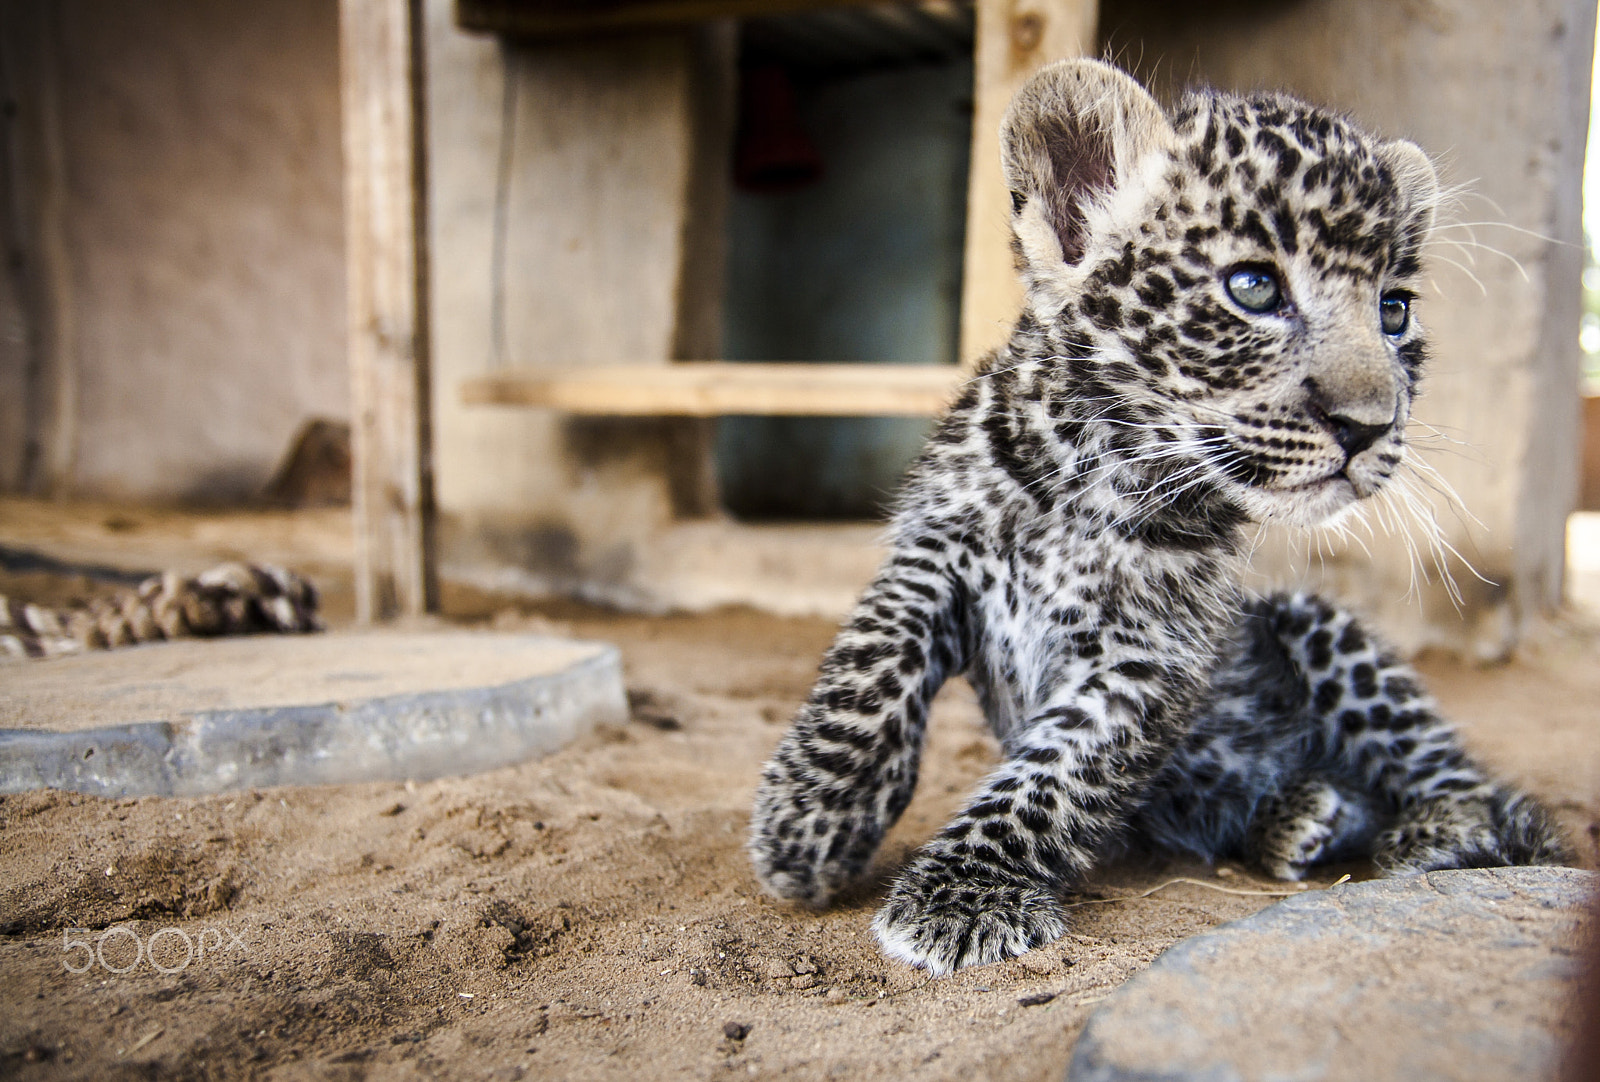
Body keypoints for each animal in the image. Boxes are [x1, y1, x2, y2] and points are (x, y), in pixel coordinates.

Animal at [747, 59, 1572, 976]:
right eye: (1254, 287)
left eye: (1393, 310)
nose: (1368, 426)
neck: (1091, 473)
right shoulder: (933, 554)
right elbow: (869, 665)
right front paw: (808, 820)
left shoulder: (1147, 655)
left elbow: (1054, 777)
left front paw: (962, 893)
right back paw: (1303, 815)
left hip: (1318, 624)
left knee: (1458, 777)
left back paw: (1432, 832)